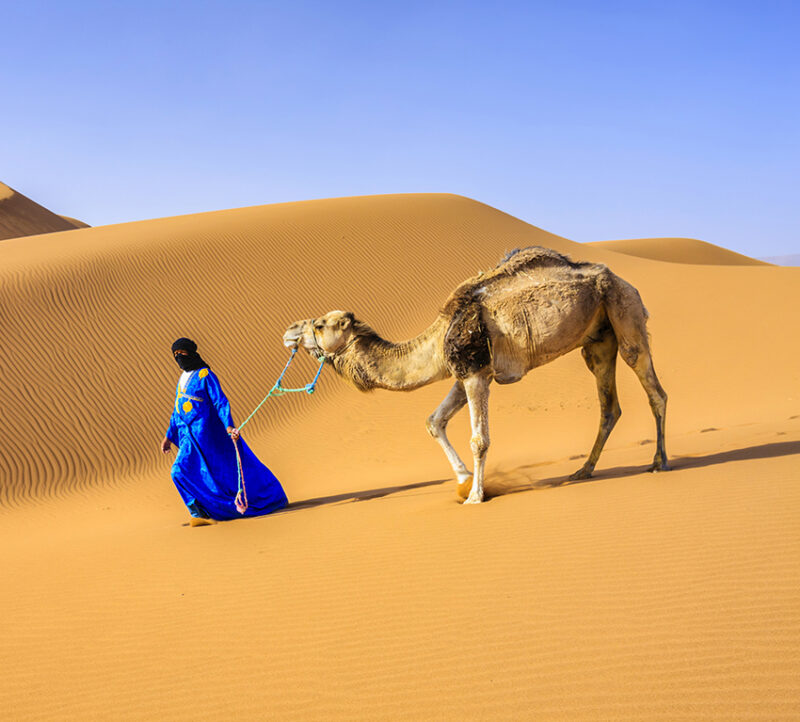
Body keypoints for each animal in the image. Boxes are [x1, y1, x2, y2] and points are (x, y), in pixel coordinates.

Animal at [283, 246, 668, 504]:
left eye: (320, 324)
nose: (288, 330)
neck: (438, 339)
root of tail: (623, 281)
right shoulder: (462, 373)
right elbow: (433, 421)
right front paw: (464, 479)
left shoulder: (476, 373)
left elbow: (479, 439)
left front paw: (475, 495)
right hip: (598, 341)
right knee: (609, 405)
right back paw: (584, 470)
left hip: (624, 309)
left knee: (652, 387)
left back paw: (659, 462)